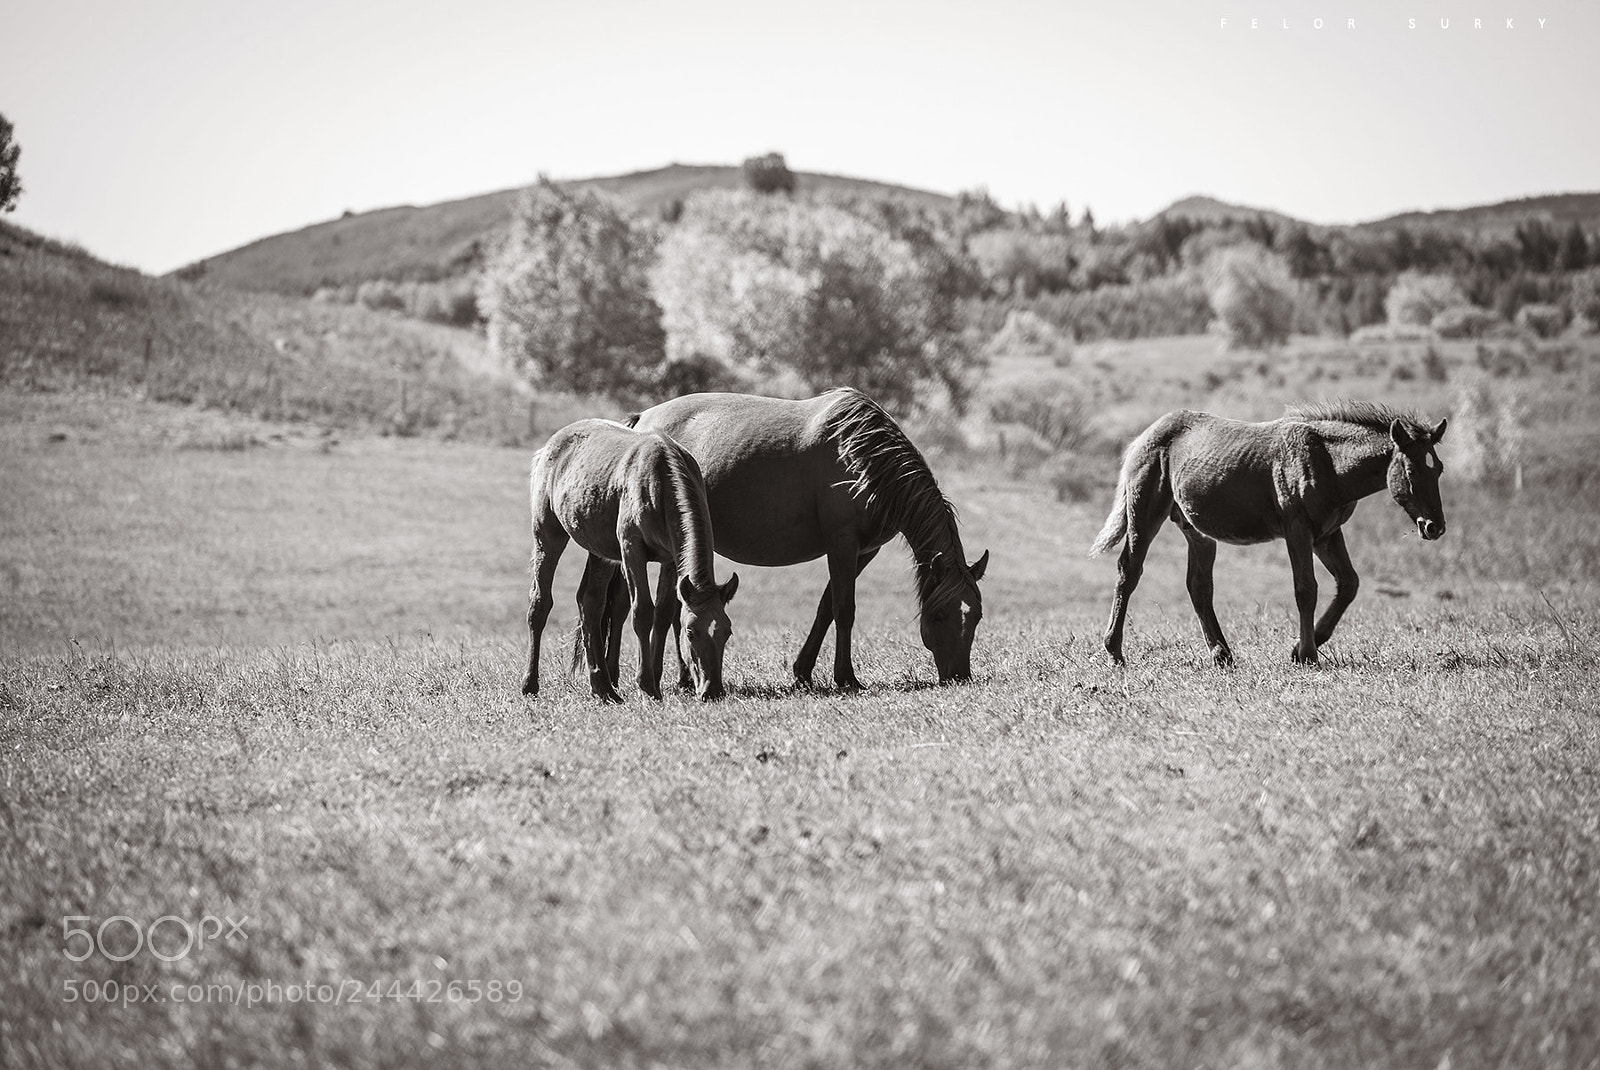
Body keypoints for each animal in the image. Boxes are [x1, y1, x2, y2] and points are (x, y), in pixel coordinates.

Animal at [521, 419, 739, 703]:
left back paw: (603, 687)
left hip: (601, 552)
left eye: (727, 631)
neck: (661, 481)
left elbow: (663, 613)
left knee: (590, 603)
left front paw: (654, 677)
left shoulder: (670, 560)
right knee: (540, 603)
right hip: (547, 536)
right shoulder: (631, 549)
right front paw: (646, 685)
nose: (713, 690)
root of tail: (548, 447)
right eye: (691, 631)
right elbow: (642, 612)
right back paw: (530, 684)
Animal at [589, 388, 988, 691]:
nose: (958, 677)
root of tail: (642, 419)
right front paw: (846, 678)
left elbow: (826, 607)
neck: (862, 458)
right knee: (635, 607)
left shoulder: (864, 551)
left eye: (976, 616)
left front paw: (803, 672)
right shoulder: (842, 544)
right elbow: (844, 610)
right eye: (938, 615)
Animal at [1089, 400, 1448, 666]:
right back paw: (1115, 651)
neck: (1327, 462)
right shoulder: (1297, 530)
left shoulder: (1327, 534)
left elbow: (1348, 584)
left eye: (1439, 469)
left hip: (1198, 533)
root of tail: (1142, 437)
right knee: (1129, 572)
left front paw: (1303, 646)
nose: (1435, 527)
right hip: (1145, 515)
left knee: (1199, 587)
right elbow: (1306, 589)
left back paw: (1222, 654)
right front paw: (1307, 654)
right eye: (1412, 470)